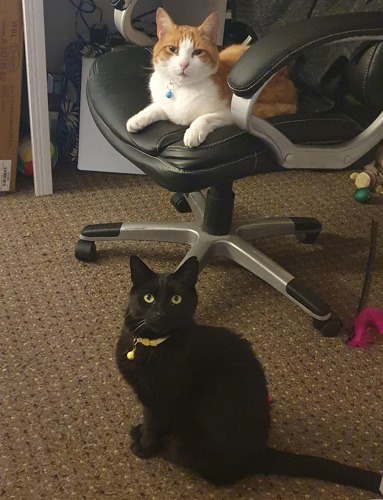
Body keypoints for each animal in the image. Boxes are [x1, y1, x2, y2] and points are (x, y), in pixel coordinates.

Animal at [115, 256, 382, 494]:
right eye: (148, 298)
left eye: (176, 299)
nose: (160, 313)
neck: (151, 345)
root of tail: (259, 451)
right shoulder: (147, 397)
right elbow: (149, 419)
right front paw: (142, 434)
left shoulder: (164, 398)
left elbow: (154, 424)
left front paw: (144, 448)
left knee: (222, 474)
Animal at [127, 7, 296, 147]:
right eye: (172, 49)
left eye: (197, 52)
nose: (183, 64)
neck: (183, 89)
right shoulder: (168, 109)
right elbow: (155, 108)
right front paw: (137, 119)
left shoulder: (228, 114)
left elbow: (204, 118)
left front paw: (193, 132)